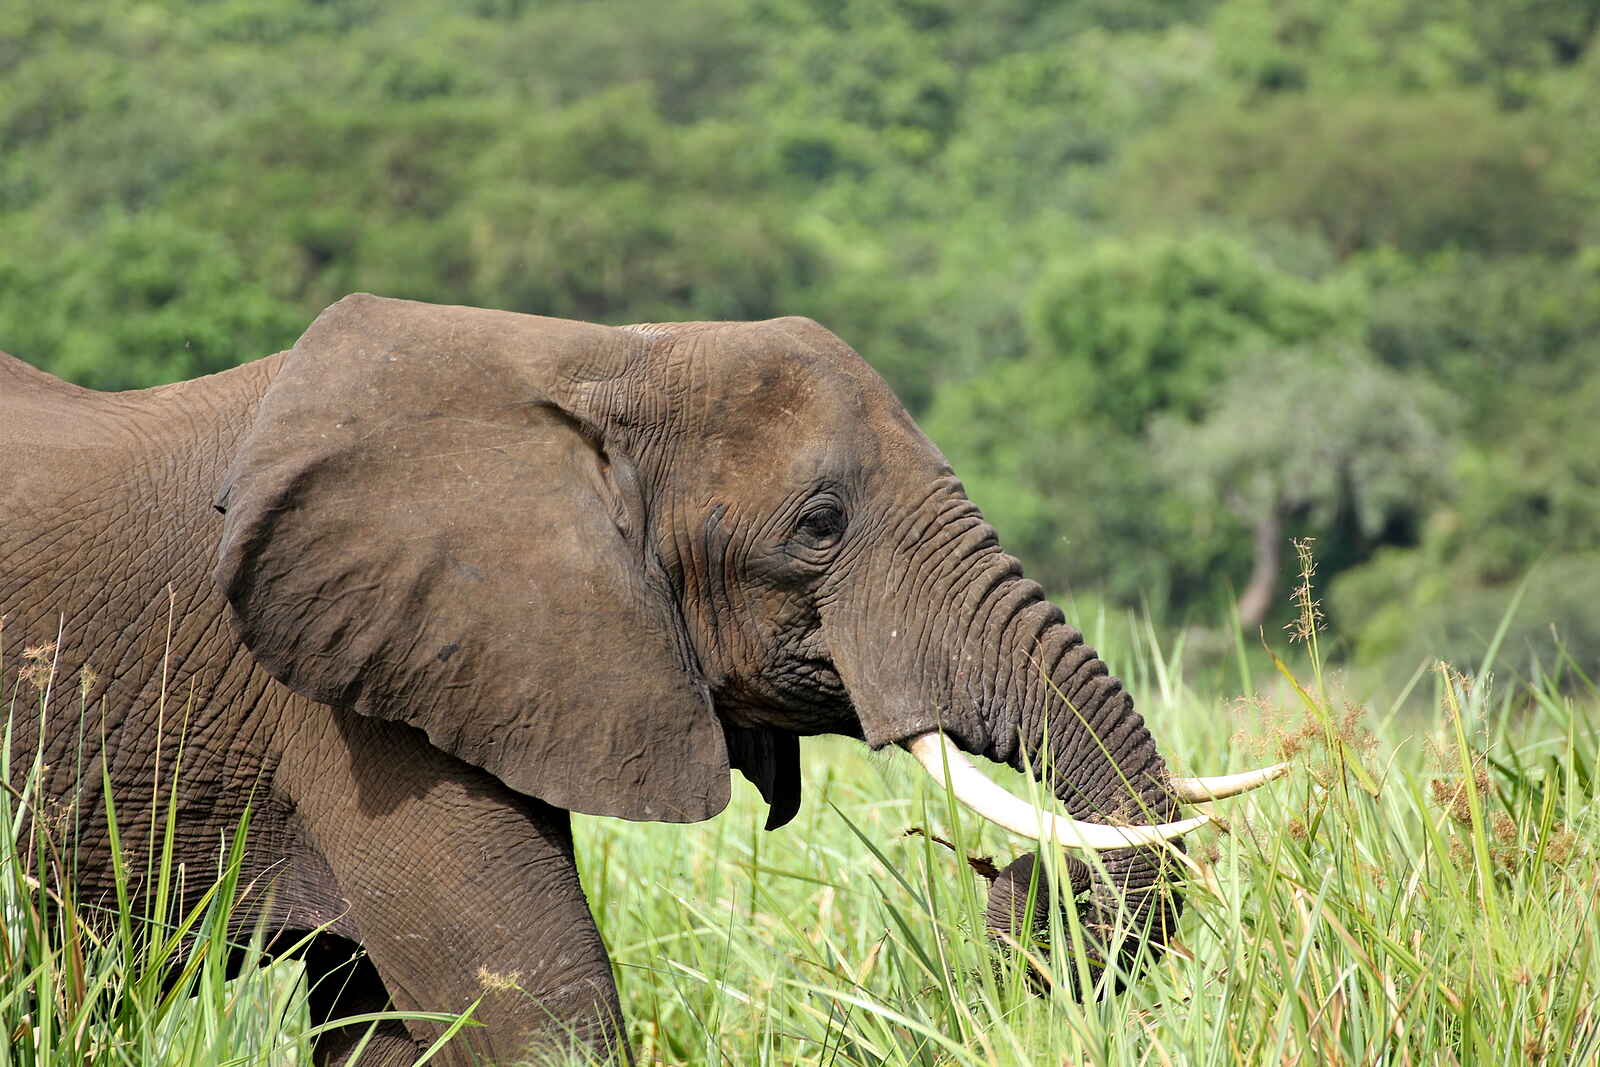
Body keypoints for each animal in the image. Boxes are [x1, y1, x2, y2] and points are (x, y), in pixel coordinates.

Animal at [0, 294, 1279, 1065]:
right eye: (819, 524)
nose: (1015, 900)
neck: (602, 355)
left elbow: (402, 1029)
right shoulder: (346, 705)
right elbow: (538, 1005)